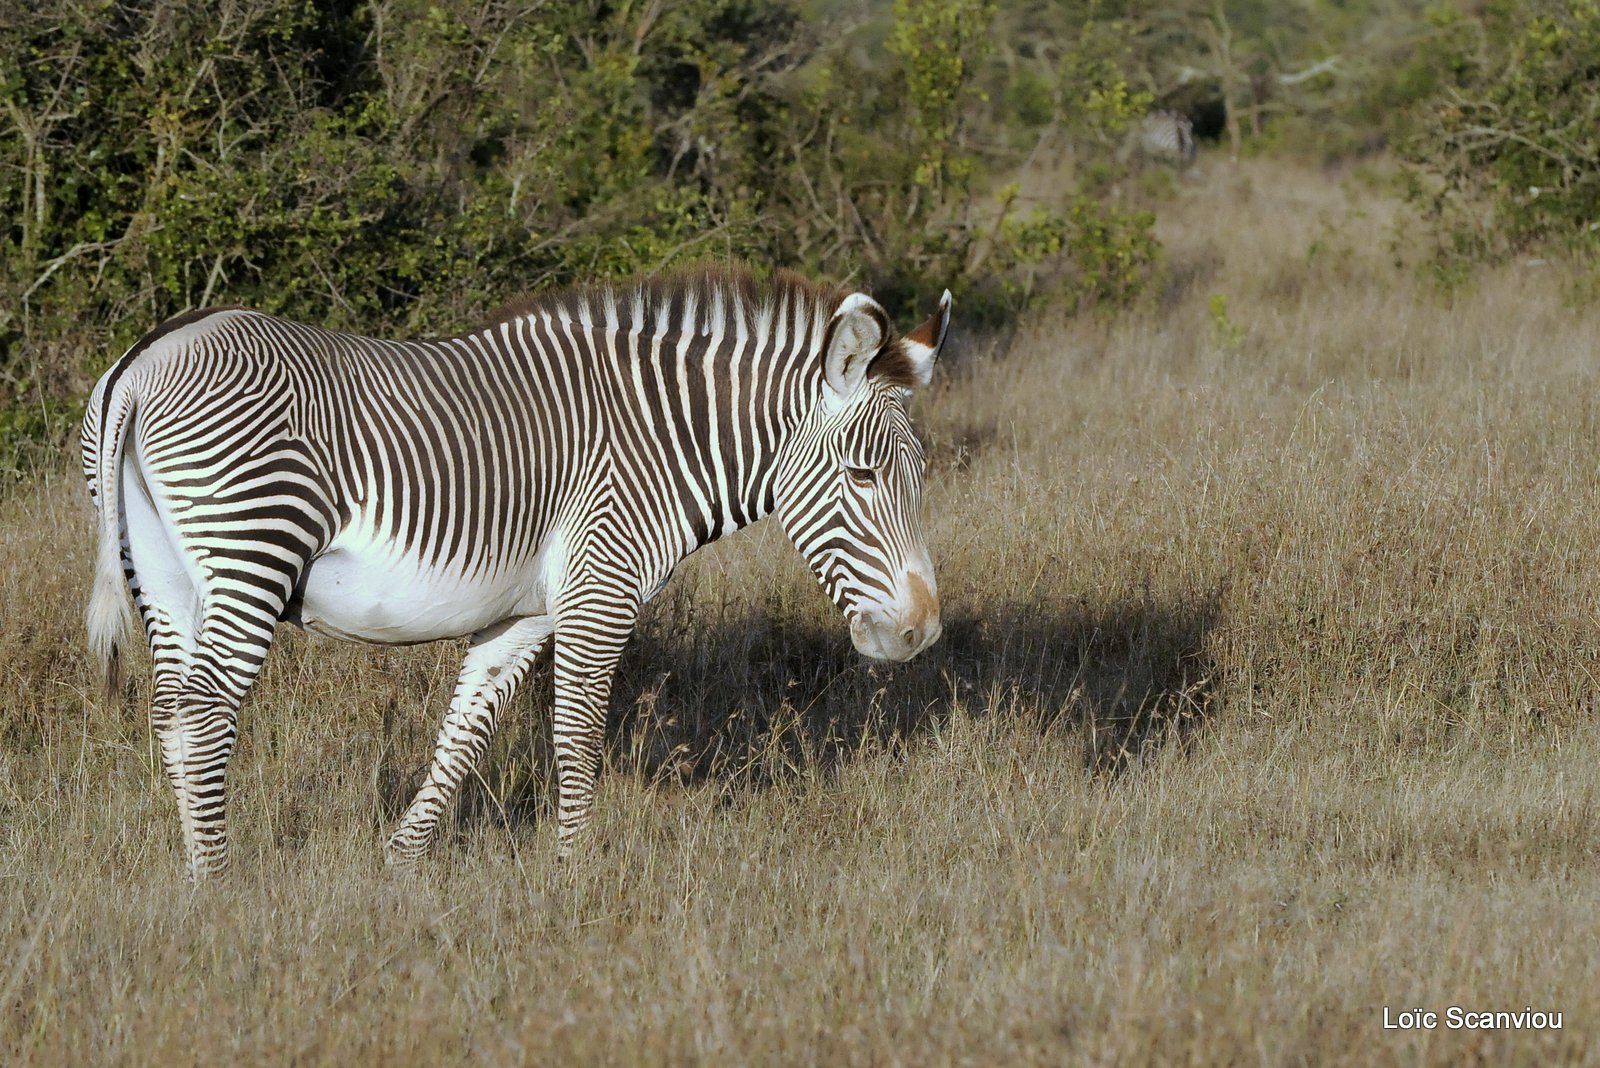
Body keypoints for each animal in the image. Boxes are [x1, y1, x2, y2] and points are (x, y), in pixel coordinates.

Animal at [84, 265, 947, 876]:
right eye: (863, 477)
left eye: (921, 476)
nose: (921, 632)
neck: (660, 438)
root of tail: (146, 358)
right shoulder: (600, 589)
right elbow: (576, 734)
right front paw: (573, 878)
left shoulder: (522, 612)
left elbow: (466, 732)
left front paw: (401, 864)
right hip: (251, 550)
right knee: (204, 712)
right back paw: (217, 884)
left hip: (163, 574)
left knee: (169, 710)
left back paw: (194, 871)